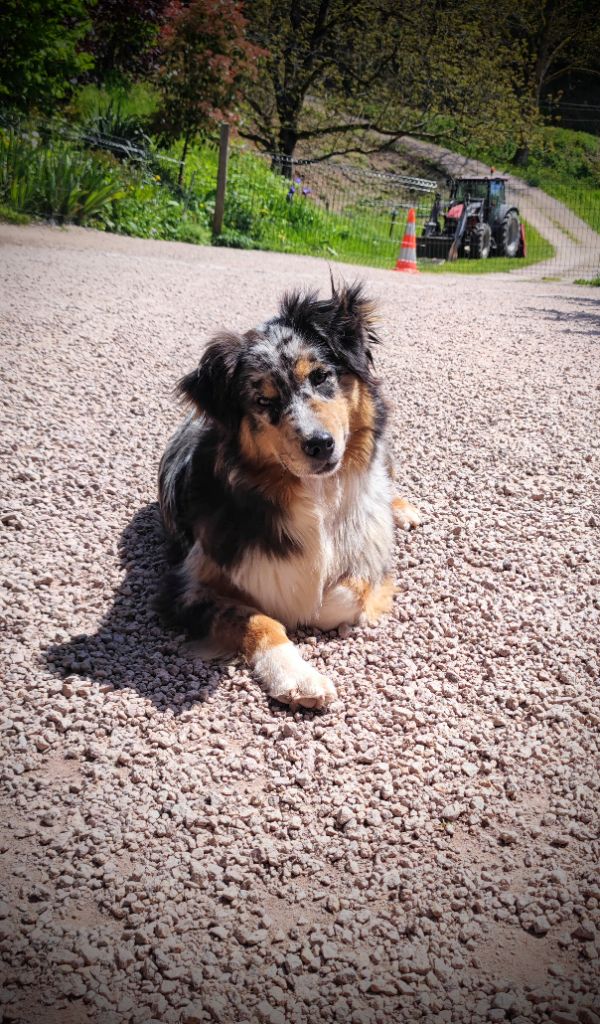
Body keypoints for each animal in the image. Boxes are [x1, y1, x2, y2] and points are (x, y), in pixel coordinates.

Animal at [157, 281, 420, 709]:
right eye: (264, 400)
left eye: (321, 376)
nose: (320, 445)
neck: (316, 493)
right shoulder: (182, 586)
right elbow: (259, 618)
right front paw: (297, 677)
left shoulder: (371, 550)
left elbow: (344, 593)